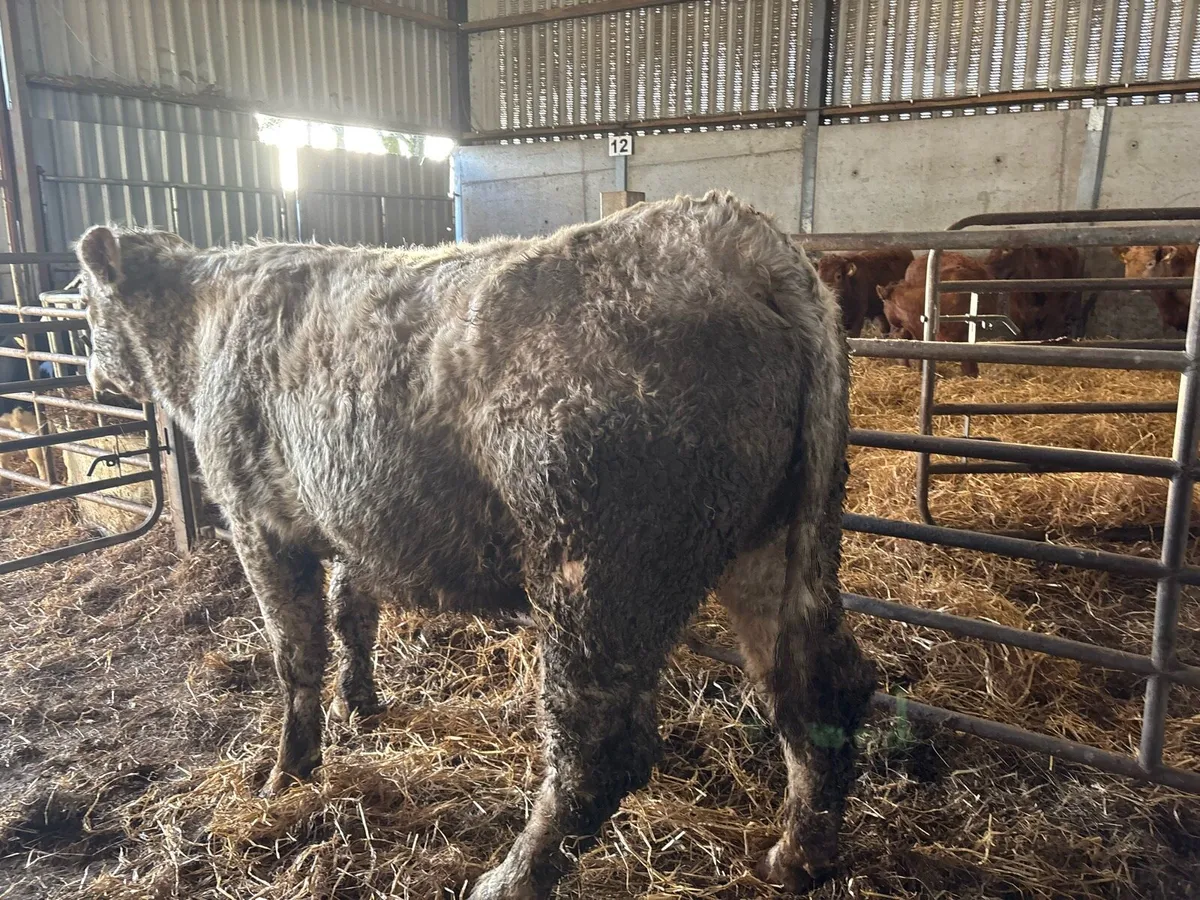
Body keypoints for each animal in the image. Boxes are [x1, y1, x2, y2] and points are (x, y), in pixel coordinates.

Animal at [75, 192, 876, 899]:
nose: (91, 369)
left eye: (84, 302)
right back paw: (798, 856)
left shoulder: (257, 520)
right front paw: (361, 704)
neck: (204, 325)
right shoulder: (357, 521)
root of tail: (743, 239)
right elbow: (352, 614)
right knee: (818, 689)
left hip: (593, 574)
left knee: (598, 748)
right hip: (779, 546)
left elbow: (295, 655)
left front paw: (287, 772)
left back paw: (510, 878)